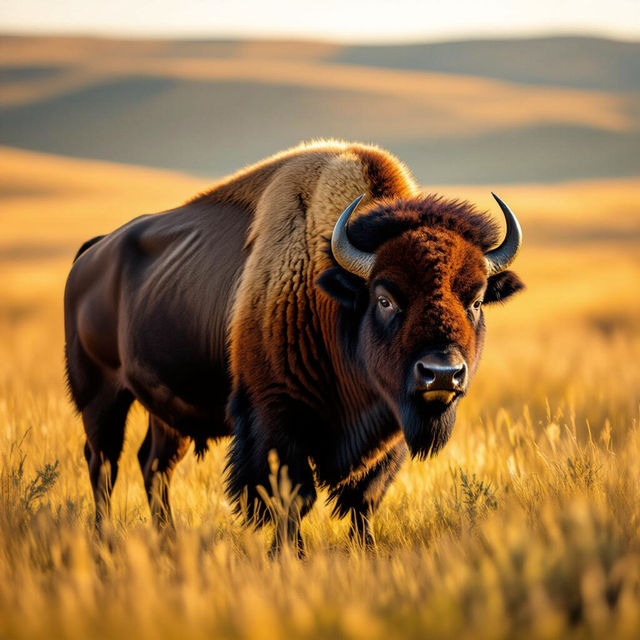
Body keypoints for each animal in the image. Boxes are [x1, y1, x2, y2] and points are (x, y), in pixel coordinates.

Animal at [64, 140, 523, 552]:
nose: (442, 374)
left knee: (154, 465)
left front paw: (366, 549)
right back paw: (105, 540)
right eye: (384, 298)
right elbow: (291, 496)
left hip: (166, 412)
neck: (331, 293)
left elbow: (364, 497)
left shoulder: (386, 429)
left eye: (476, 300)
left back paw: (168, 540)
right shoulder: (277, 418)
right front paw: (289, 554)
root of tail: (92, 253)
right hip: (101, 396)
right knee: (104, 463)